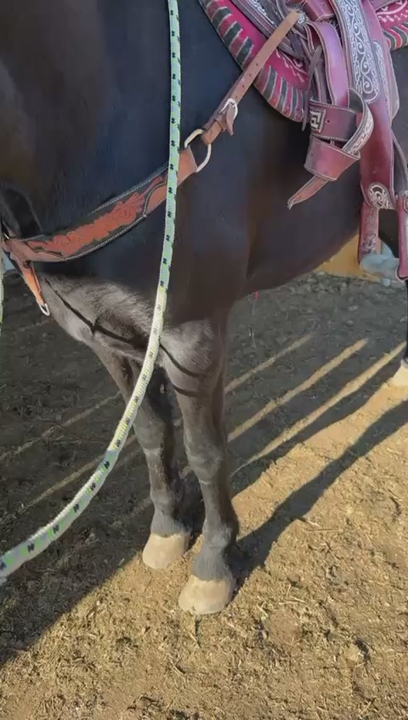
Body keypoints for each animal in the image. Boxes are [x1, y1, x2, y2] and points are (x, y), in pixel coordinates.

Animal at [1, 0, 408, 614]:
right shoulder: (108, 335)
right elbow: (151, 434)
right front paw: (169, 529)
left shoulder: (192, 337)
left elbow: (205, 449)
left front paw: (214, 560)